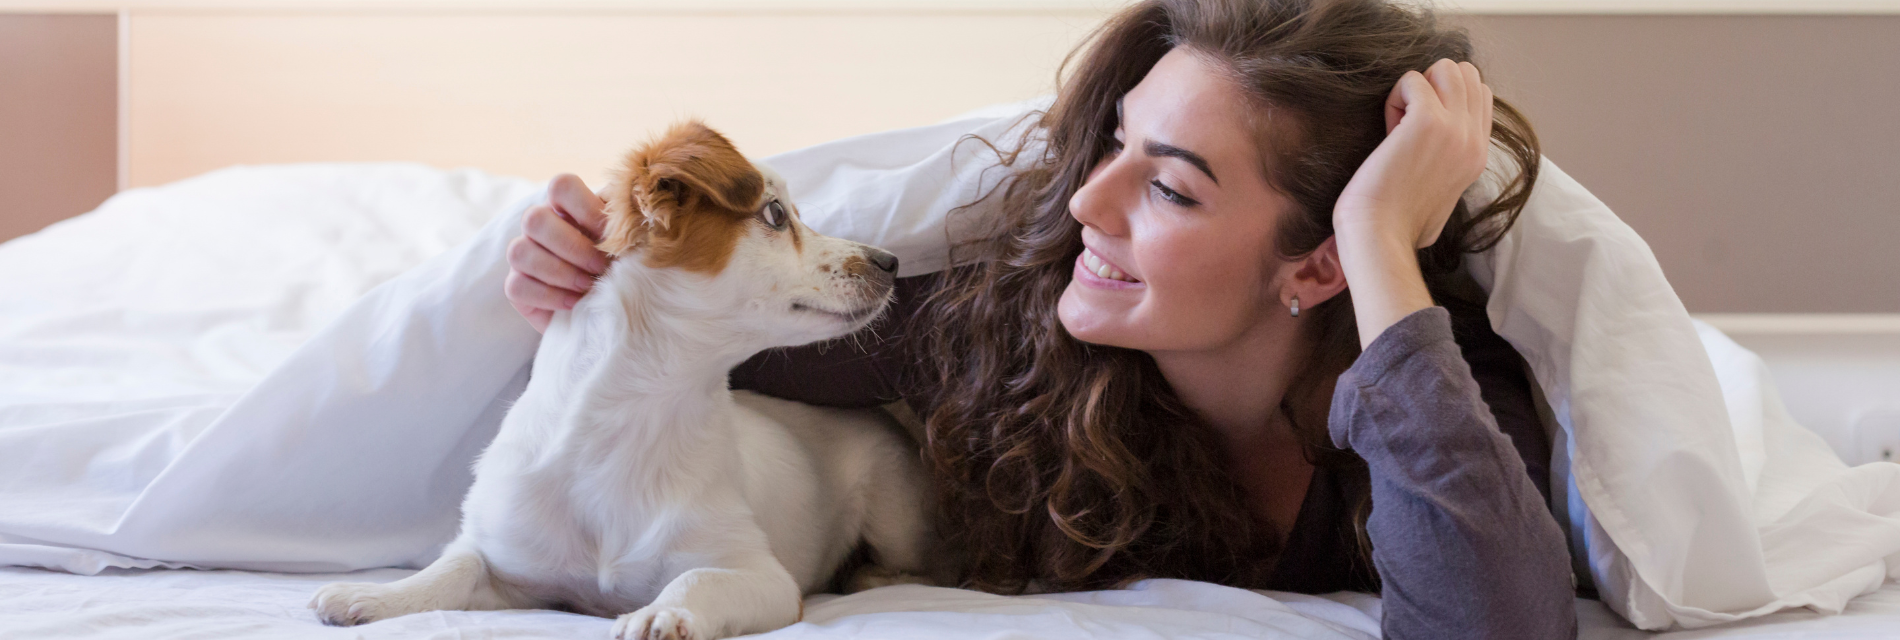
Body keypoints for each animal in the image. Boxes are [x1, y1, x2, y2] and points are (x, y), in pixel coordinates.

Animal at [304, 121, 934, 638]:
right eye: (777, 215)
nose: (890, 262)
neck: (635, 423)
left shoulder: (761, 575)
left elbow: (695, 579)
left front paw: (664, 612)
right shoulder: (514, 565)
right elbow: (454, 565)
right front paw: (379, 596)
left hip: (895, 510)